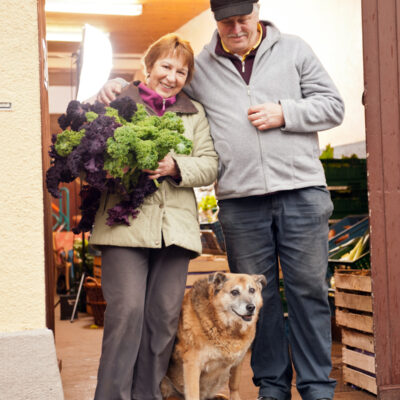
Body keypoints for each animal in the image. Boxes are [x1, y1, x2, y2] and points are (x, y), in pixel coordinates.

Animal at [161, 272, 268, 400]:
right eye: (234, 292)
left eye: (252, 290)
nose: (251, 307)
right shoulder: (192, 364)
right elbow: (193, 394)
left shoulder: (239, 361)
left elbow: (234, 386)